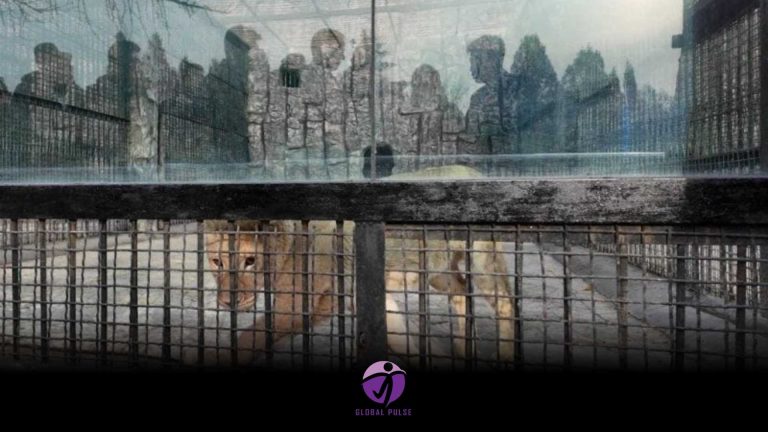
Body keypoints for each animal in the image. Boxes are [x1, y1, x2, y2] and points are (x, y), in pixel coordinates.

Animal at [205, 166, 515, 367]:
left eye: (250, 261)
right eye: (217, 262)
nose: (227, 302)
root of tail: (476, 172)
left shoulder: (299, 307)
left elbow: (251, 336)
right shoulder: (371, 298)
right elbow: (403, 339)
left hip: (481, 259)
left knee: (505, 303)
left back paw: (505, 355)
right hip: (438, 271)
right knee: (462, 293)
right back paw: (464, 349)